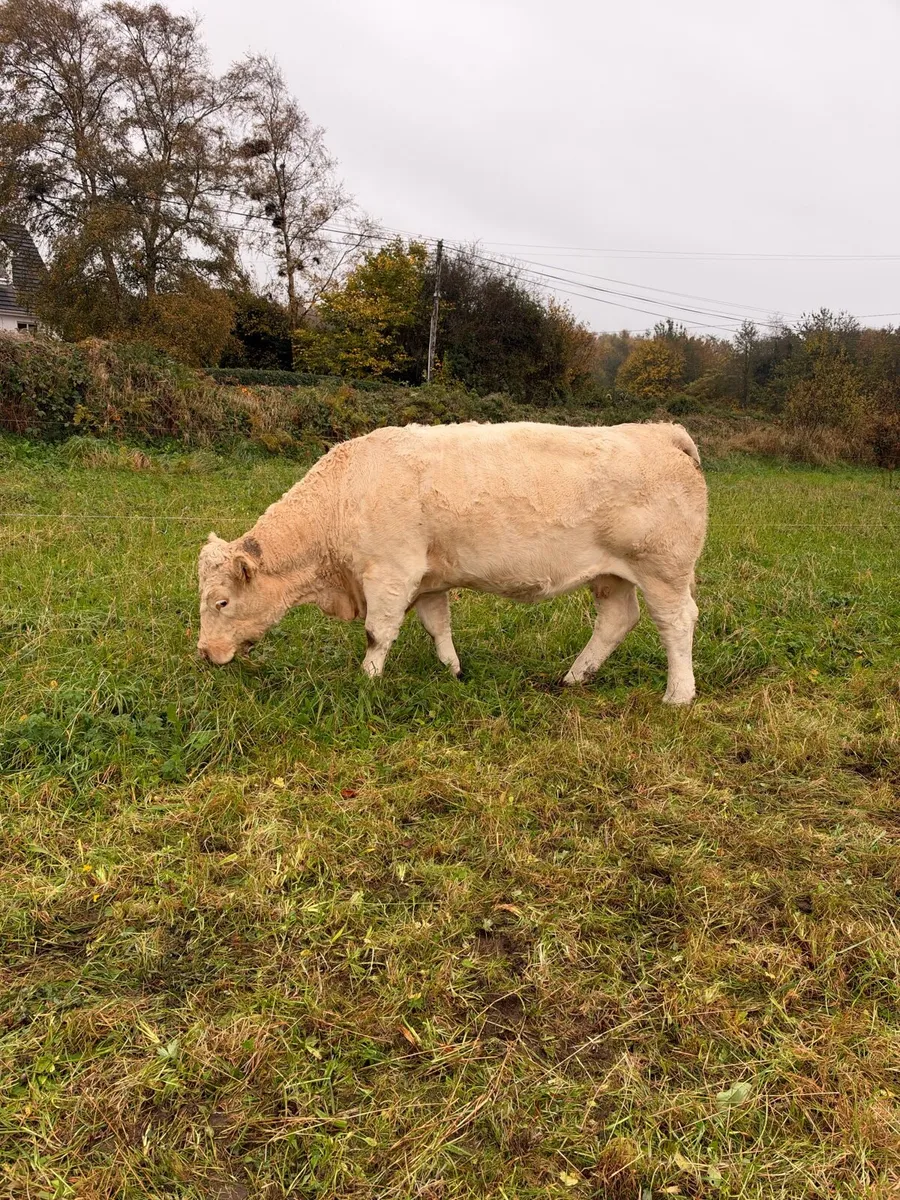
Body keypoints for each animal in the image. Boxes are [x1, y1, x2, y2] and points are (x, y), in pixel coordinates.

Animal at [197, 421, 708, 703]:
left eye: (221, 602)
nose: (204, 652)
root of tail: (658, 431)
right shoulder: (429, 579)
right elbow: (436, 625)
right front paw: (453, 671)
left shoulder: (390, 572)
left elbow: (378, 633)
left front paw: (367, 681)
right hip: (610, 574)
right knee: (617, 619)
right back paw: (574, 678)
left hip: (663, 569)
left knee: (677, 622)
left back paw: (678, 695)